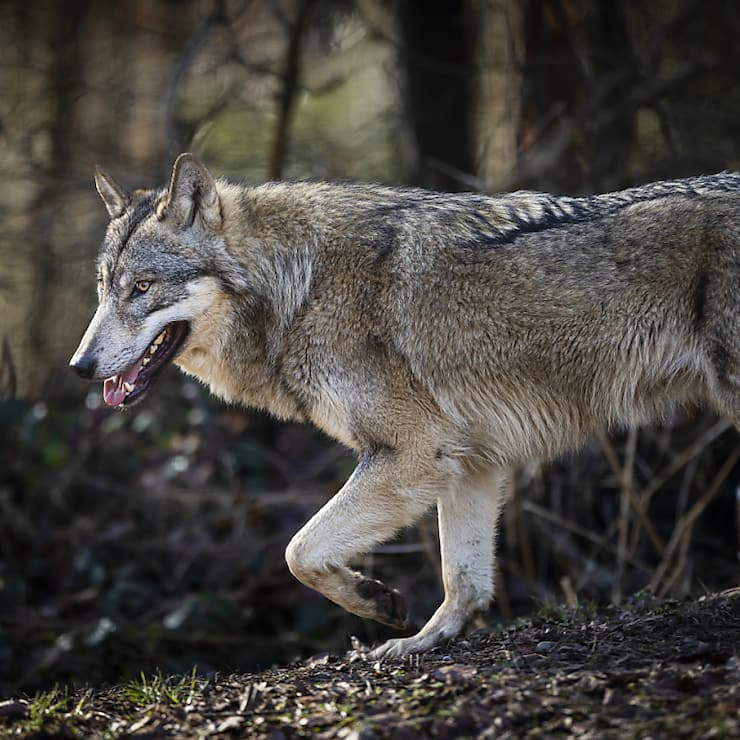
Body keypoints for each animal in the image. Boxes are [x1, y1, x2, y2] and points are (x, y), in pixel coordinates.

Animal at [70, 153, 740, 658]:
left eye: (142, 288)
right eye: (103, 289)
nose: (79, 366)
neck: (298, 288)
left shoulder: (414, 453)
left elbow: (298, 551)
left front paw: (377, 600)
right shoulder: (470, 463)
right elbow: (463, 578)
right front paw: (423, 641)